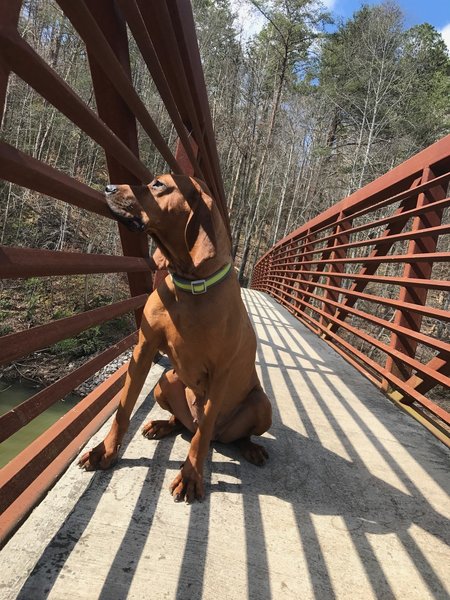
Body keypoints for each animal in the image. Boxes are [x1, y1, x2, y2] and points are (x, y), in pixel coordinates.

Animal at [78, 173, 270, 502]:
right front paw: (105, 451)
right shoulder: (143, 350)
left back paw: (250, 448)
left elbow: (202, 435)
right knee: (183, 423)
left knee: (218, 433)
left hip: (262, 404)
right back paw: (162, 425)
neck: (190, 286)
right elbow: (123, 408)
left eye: (158, 185)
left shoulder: (222, 372)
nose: (108, 187)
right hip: (165, 381)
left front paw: (191, 477)